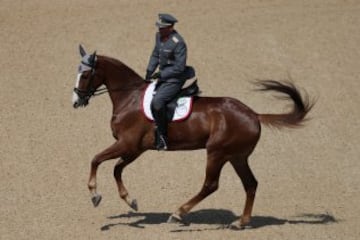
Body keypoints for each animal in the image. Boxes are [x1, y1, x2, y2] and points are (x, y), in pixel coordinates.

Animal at [72, 44, 312, 229]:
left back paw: (178, 214)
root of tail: (253, 114)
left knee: (211, 185)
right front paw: (130, 201)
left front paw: (94, 195)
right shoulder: (135, 149)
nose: (76, 101)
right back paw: (241, 222)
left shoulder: (127, 144)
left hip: (217, 152)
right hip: (237, 156)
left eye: (86, 74)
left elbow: (96, 160)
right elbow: (116, 169)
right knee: (250, 184)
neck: (129, 97)